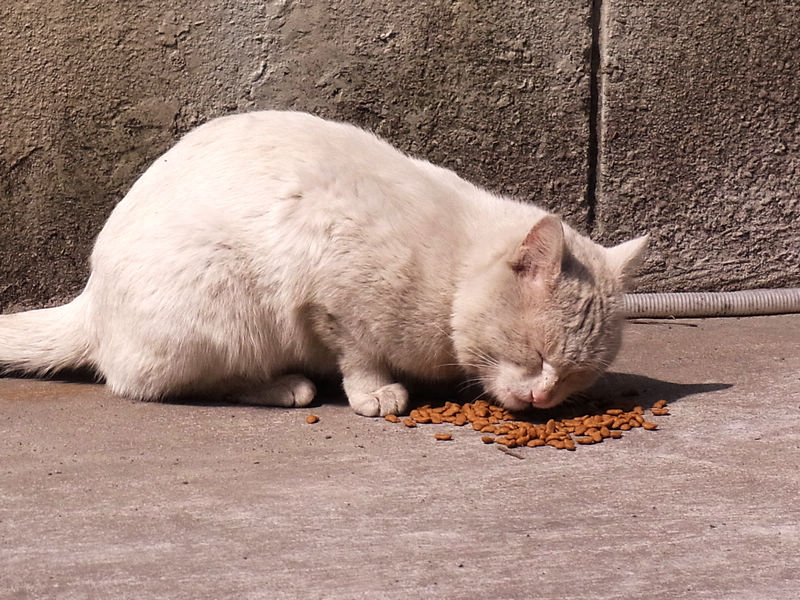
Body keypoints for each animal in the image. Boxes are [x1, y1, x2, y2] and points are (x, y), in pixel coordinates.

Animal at [0, 110, 648, 414]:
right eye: (537, 356)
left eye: (575, 375)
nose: (544, 398)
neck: (451, 284)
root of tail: (90, 299)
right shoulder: (331, 283)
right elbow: (358, 353)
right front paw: (375, 392)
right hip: (225, 305)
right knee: (157, 384)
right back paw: (286, 386)